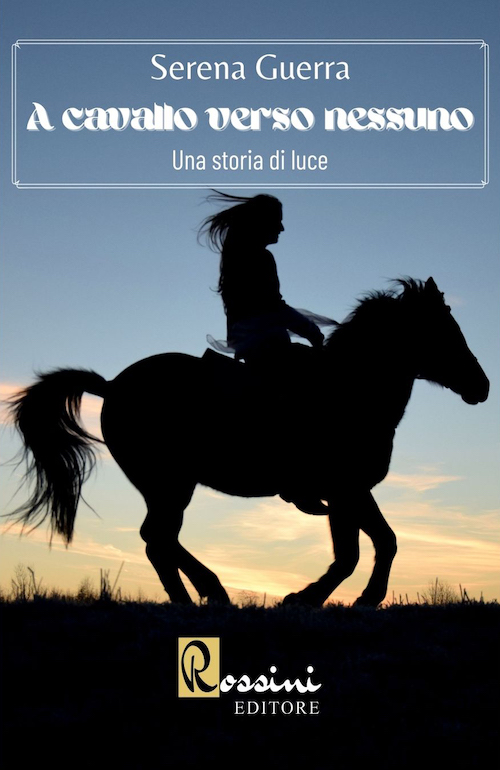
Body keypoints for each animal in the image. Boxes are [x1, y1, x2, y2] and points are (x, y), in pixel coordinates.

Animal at [7, 277, 489, 607]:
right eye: (443, 331)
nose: (481, 387)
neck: (348, 390)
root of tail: (111, 386)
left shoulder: (350, 492)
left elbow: (375, 544)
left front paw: (345, 599)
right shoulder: (344, 490)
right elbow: (357, 551)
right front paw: (311, 598)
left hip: (167, 486)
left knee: (158, 539)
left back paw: (201, 595)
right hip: (170, 483)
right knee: (157, 538)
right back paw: (206, 595)